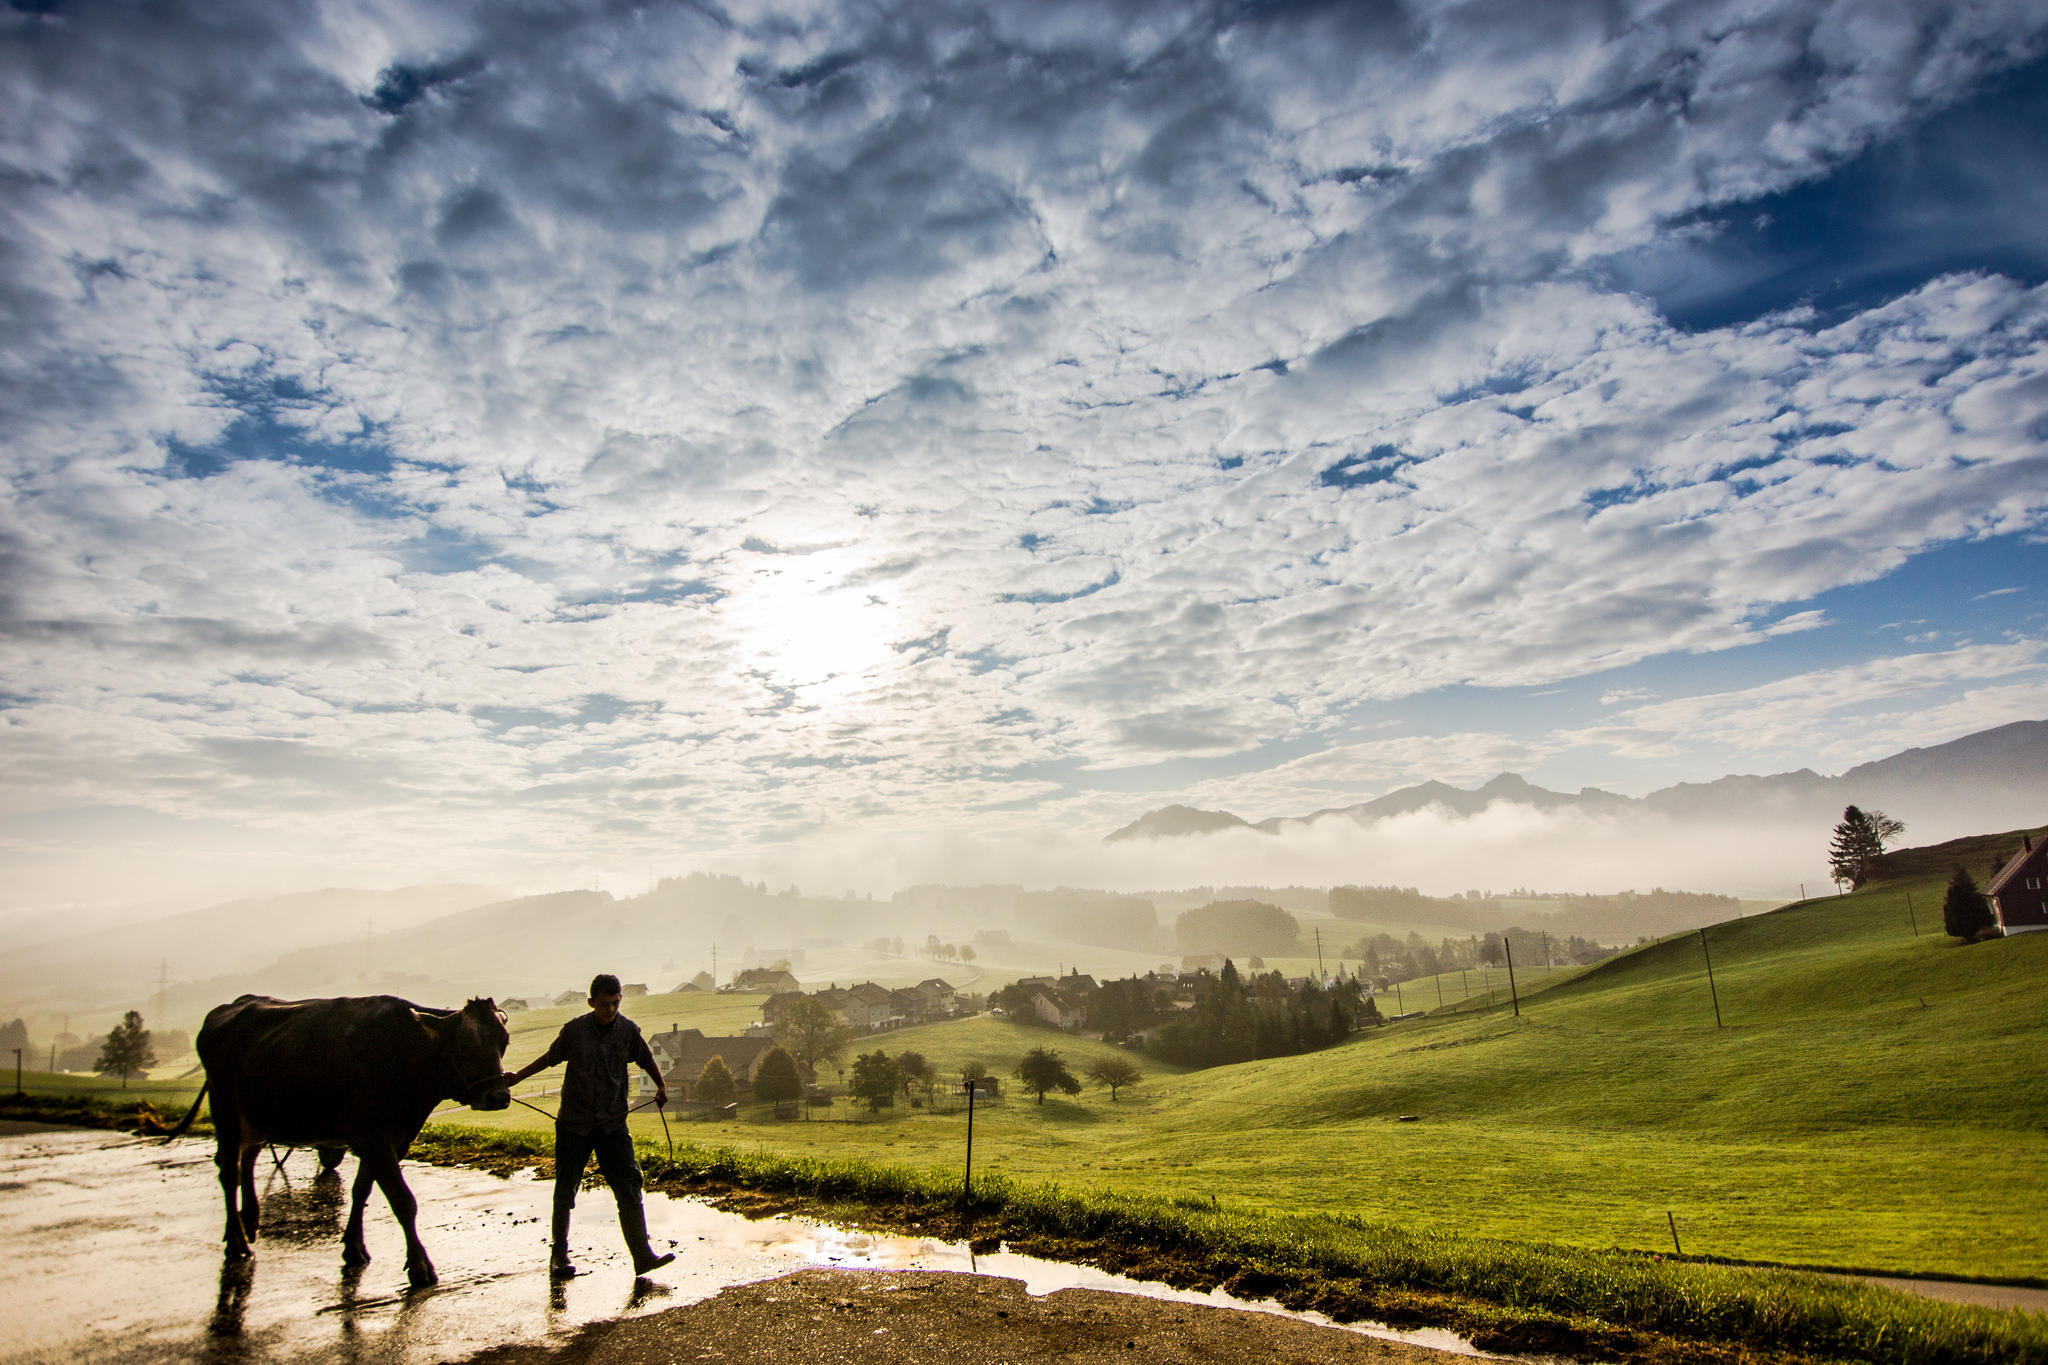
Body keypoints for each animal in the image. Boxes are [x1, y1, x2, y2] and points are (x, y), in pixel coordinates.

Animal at [171, 998, 516, 1285]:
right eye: (465, 1046)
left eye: (504, 1042)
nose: (499, 1096)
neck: (408, 1052)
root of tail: (228, 1008)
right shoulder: (376, 1137)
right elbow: (403, 1201)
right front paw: (420, 1266)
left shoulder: (391, 1138)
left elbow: (361, 1190)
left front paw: (354, 1247)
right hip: (225, 1109)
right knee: (229, 1173)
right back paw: (238, 1242)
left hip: (253, 1117)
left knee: (248, 1158)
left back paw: (249, 1221)